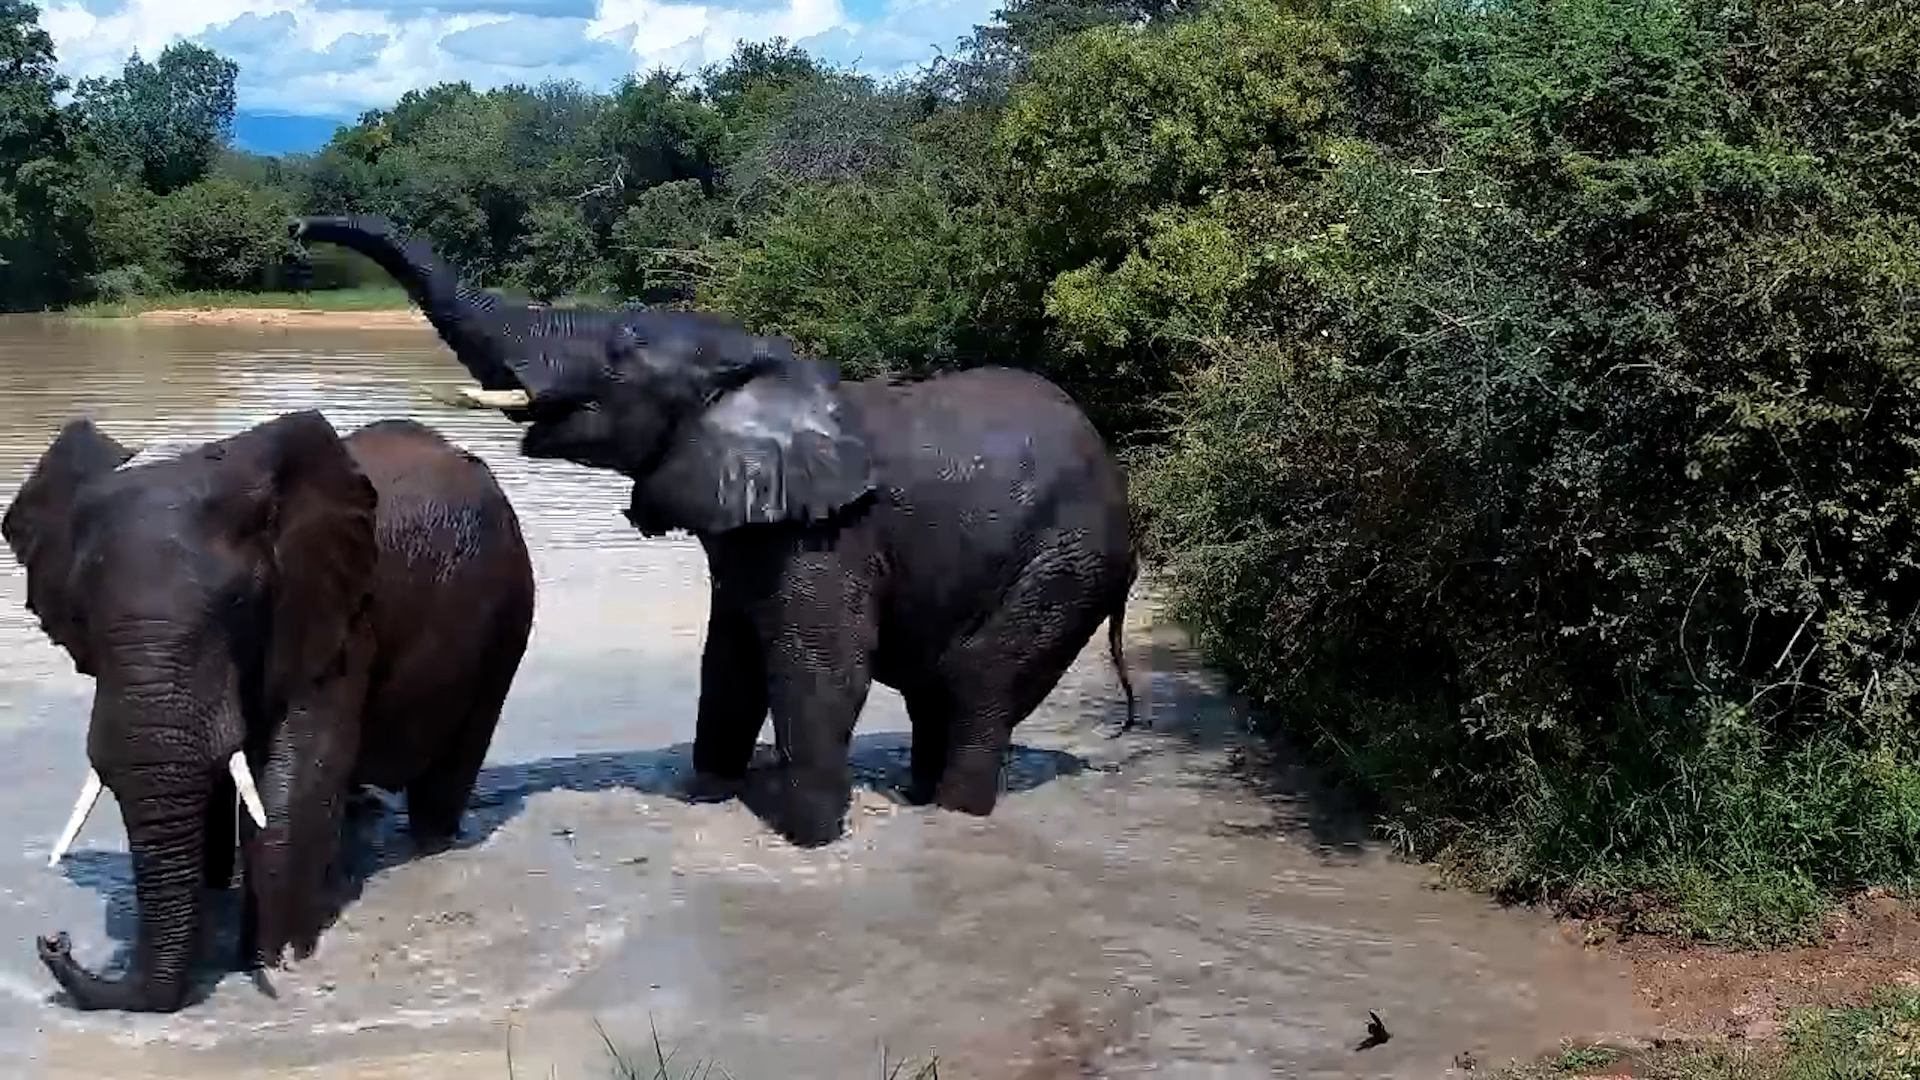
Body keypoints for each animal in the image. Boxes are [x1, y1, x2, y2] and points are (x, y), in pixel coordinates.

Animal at [2, 410, 537, 1013]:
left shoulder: (337, 616)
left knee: (448, 775)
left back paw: (430, 843)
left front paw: (271, 962)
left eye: (239, 602)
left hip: (509, 616)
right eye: (78, 613)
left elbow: (295, 777)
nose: (54, 940)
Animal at [291, 214, 1139, 850]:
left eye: (620, 352)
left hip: (1065, 562)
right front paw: (709, 793)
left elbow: (819, 669)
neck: (758, 366)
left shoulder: (830, 534)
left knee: (976, 687)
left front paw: (807, 843)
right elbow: (727, 663)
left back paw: (955, 813)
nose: (299, 230)